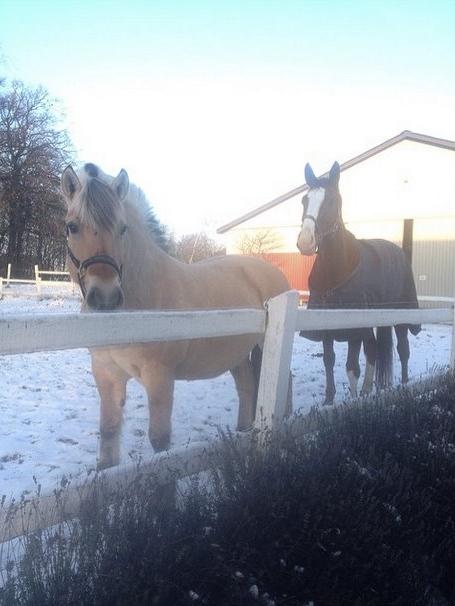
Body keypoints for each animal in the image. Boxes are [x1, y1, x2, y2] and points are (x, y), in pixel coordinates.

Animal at [60, 164, 290, 472]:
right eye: (72, 227)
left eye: (123, 228)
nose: (106, 297)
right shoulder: (106, 374)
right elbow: (108, 436)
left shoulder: (160, 377)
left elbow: (160, 441)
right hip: (238, 353)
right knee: (246, 387)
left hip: (266, 346)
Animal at [298, 164, 422, 406]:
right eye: (304, 200)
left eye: (333, 201)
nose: (305, 242)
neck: (337, 271)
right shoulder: (325, 326)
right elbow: (329, 359)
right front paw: (329, 400)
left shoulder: (354, 327)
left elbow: (351, 367)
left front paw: (353, 401)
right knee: (373, 348)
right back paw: (368, 389)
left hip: (401, 316)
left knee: (402, 349)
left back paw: (403, 384)